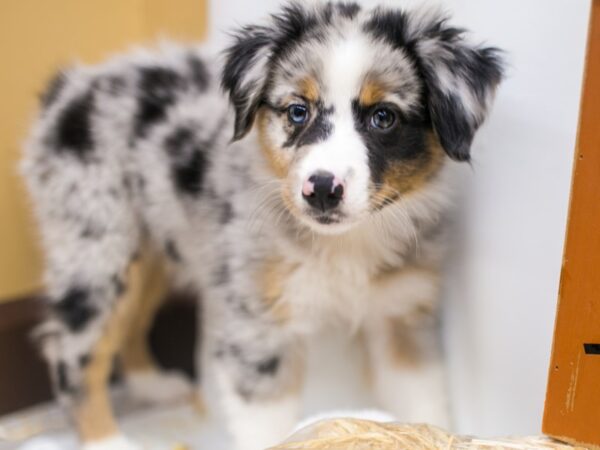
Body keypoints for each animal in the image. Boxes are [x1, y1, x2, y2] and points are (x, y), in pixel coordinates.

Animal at [21, 3, 502, 450]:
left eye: (383, 117)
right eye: (297, 111)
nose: (322, 189)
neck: (343, 244)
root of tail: (72, 88)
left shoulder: (400, 313)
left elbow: (424, 403)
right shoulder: (256, 325)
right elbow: (265, 425)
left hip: (149, 248)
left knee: (133, 321)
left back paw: (152, 385)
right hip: (96, 247)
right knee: (73, 352)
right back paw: (107, 439)